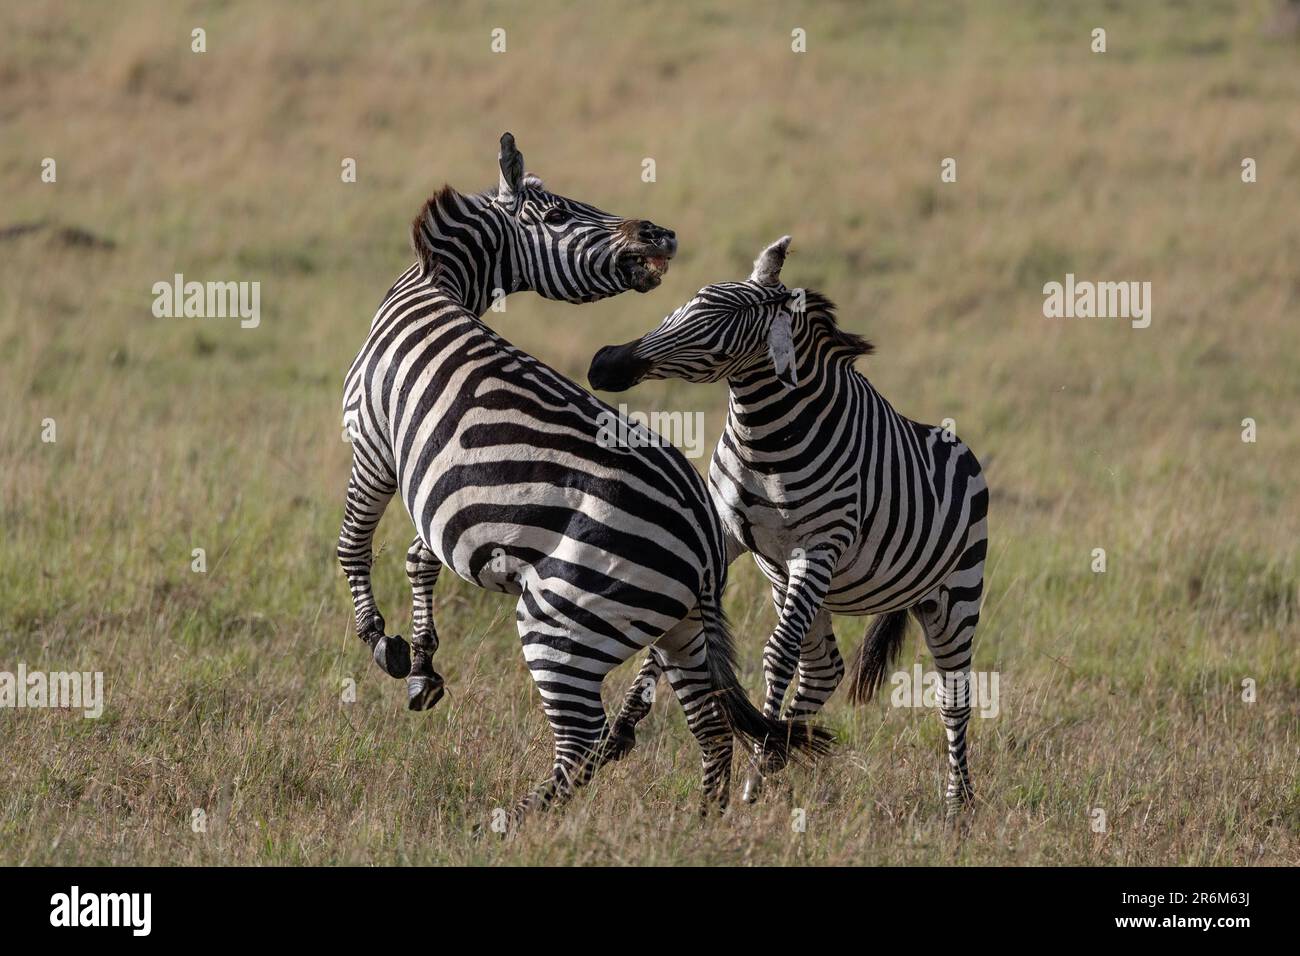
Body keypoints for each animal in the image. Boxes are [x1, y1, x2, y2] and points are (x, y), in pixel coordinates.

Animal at [335, 140, 821, 822]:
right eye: (561, 213)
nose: (661, 234)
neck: (434, 285)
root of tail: (704, 539)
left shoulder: (373, 444)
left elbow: (354, 544)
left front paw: (381, 640)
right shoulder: (437, 489)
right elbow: (419, 557)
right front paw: (423, 666)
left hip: (564, 619)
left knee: (582, 739)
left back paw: (512, 821)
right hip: (679, 627)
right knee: (710, 726)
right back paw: (702, 823)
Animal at [585, 235, 987, 811]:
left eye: (722, 329)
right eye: (689, 300)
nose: (605, 364)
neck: (768, 438)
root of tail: (963, 449)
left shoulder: (819, 547)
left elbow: (776, 655)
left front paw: (757, 764)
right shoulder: (725, 532)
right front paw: (617, 737)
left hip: (953, 595)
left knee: (954, 699)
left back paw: (957, 805)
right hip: (799, 583)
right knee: (823, 668)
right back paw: (779, 753)